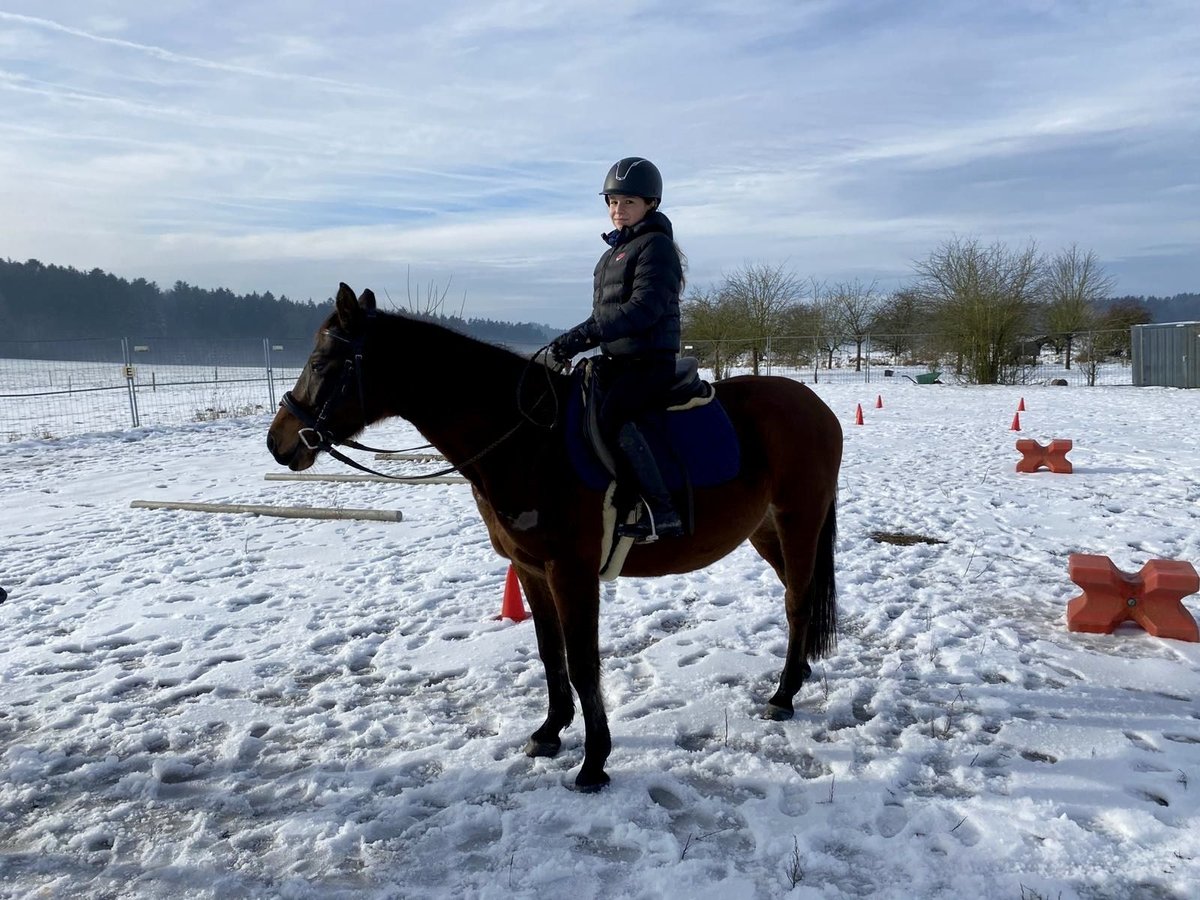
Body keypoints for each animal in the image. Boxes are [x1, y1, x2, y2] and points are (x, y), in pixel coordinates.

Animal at [267, 285, 844, 792]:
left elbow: (584, 663)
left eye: (323, 364)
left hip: (798, 521)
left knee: (797, 602)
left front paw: (594, 763)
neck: (526, 441)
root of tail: (815, 406)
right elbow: (551, 654)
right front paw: (549, 733)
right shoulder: (530, 567)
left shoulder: (572, 572)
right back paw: (796, 676)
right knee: (798, 595)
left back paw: (784, 695)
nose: (279, 443)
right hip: (766, 531)